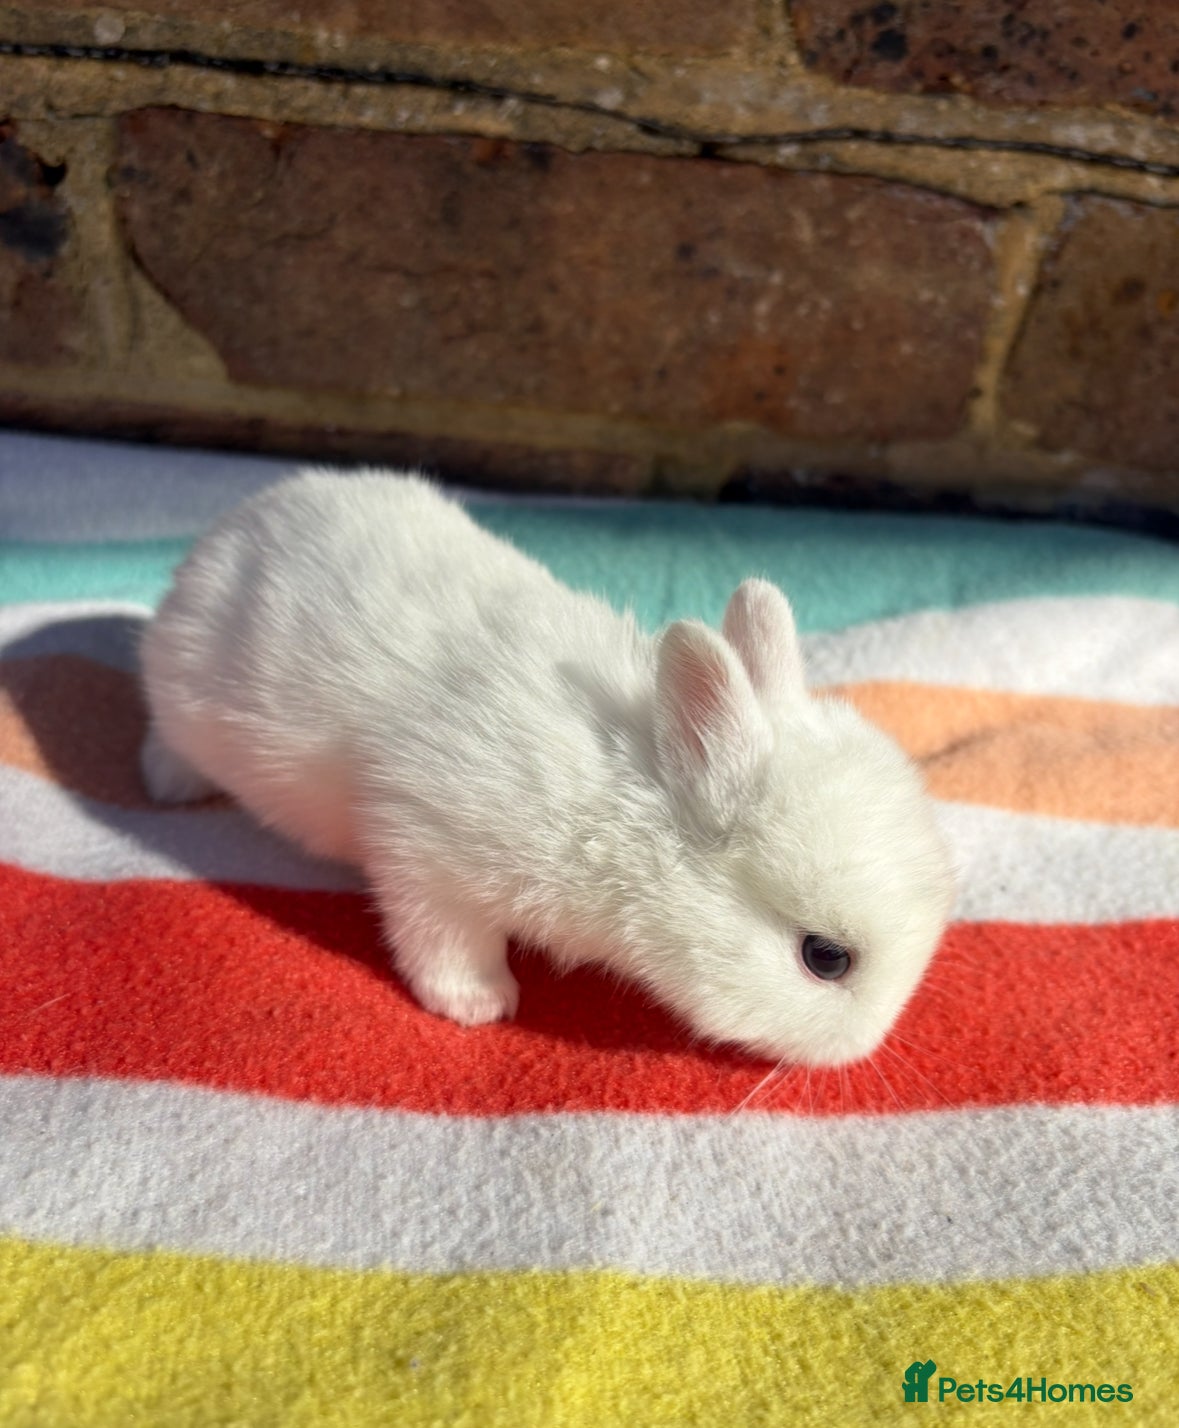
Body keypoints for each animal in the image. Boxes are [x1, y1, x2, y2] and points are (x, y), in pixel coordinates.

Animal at [139, 469, 954, 1067]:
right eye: (826, 958)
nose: (863, 1048)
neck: (636, 808)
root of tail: (226, 532)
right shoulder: (424, 850)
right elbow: (441, 938)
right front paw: (479, 1005)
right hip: (184, 705)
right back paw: (167, 787)